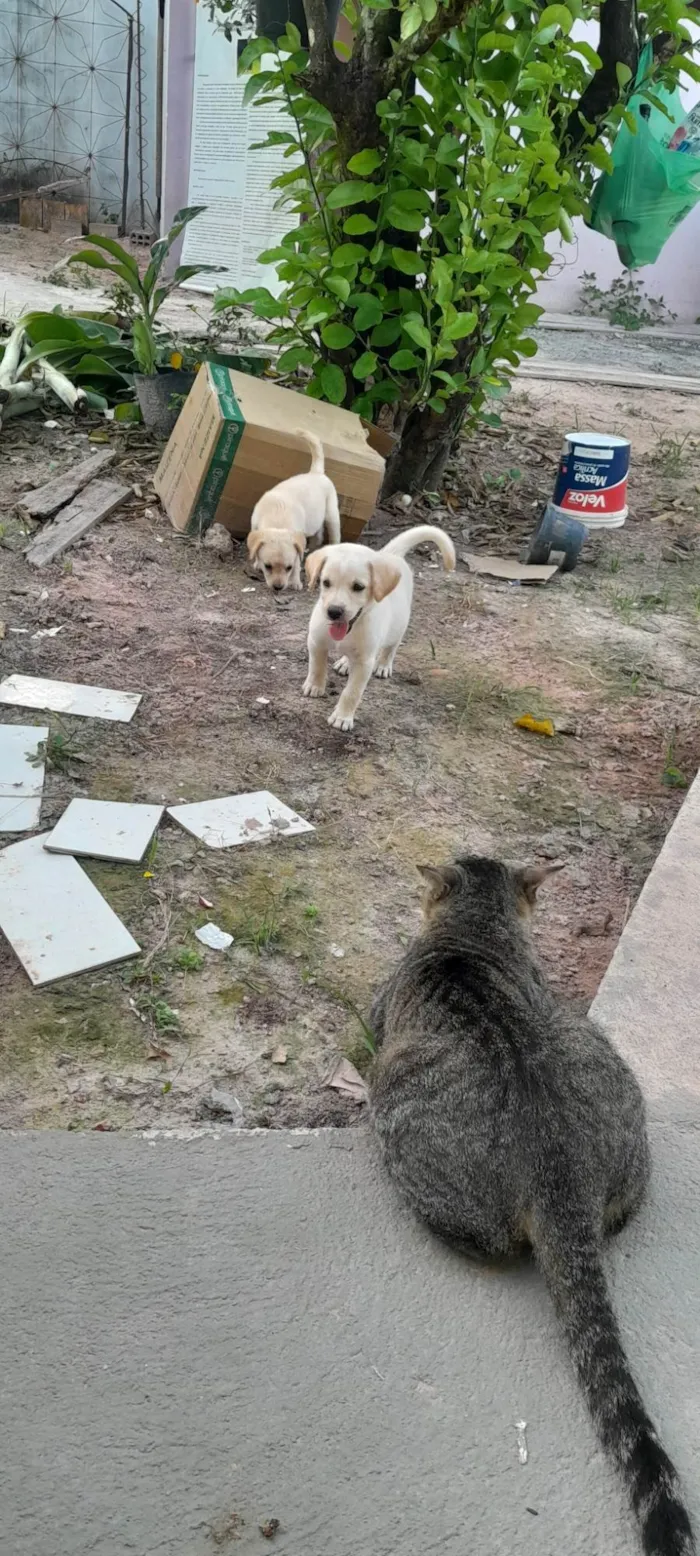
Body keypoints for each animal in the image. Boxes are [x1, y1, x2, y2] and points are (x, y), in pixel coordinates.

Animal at [245, 429, 342, 591]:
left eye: (288, 568)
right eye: (268, 566)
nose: (278, 587)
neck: (277, 518)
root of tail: (316, 472)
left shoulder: (296, 549)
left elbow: (297, 563)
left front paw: (295, 582)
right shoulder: (255, 525)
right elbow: (256, 549)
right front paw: (257, 562)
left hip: (332, 515)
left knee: (334, 535)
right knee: (319, 533)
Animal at [303, 525, 457, 731]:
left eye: (358, 587)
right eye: (325, 583)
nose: (334, 611)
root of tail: (390, 554)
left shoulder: (365, 663)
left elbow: (352, 692)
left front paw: (343, 717)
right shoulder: (316, 643)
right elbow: (317, 667)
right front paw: (314, 686)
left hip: (399, 626)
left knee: (390, 648)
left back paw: (383, 665)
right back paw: (345, 662)